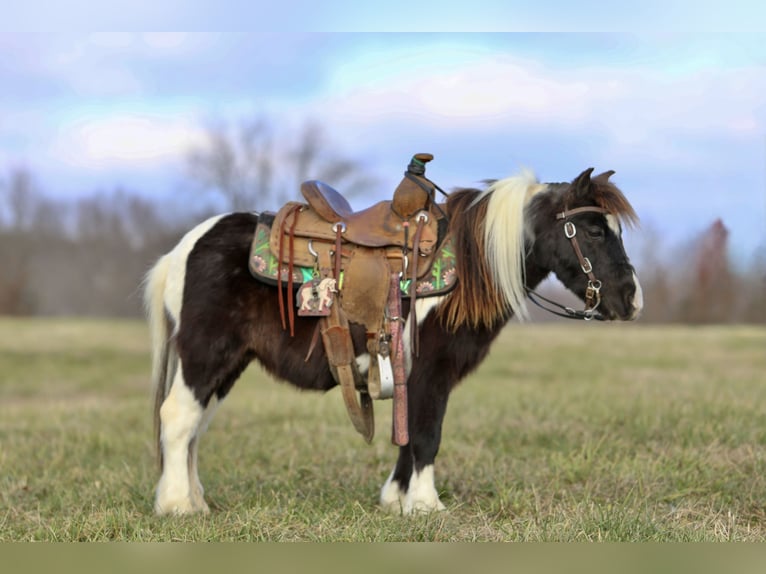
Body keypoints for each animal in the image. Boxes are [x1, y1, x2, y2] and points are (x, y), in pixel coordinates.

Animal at [143, 166, 643, 515]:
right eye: (595, 231)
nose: (632, 299)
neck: (464, 267)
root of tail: (184, 248)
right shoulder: (430, 373)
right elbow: (426, 434)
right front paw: (425, 504)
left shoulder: (414, 377)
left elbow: (409, 434)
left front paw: (397, 500)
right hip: (205, 355)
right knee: (179, 418)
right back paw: (177, 506)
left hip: (227, 364)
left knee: (196, 426)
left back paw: (194, 500)